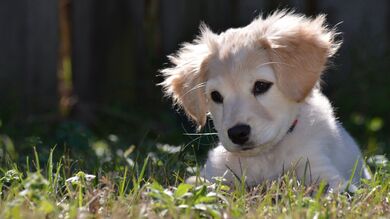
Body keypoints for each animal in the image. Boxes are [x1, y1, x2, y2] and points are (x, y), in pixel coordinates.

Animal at [160, 11, 370, 191]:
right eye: (216, 96)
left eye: (261, 86)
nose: (238, 133)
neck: (265, 157)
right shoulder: (216, 174)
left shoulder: (322, 171)